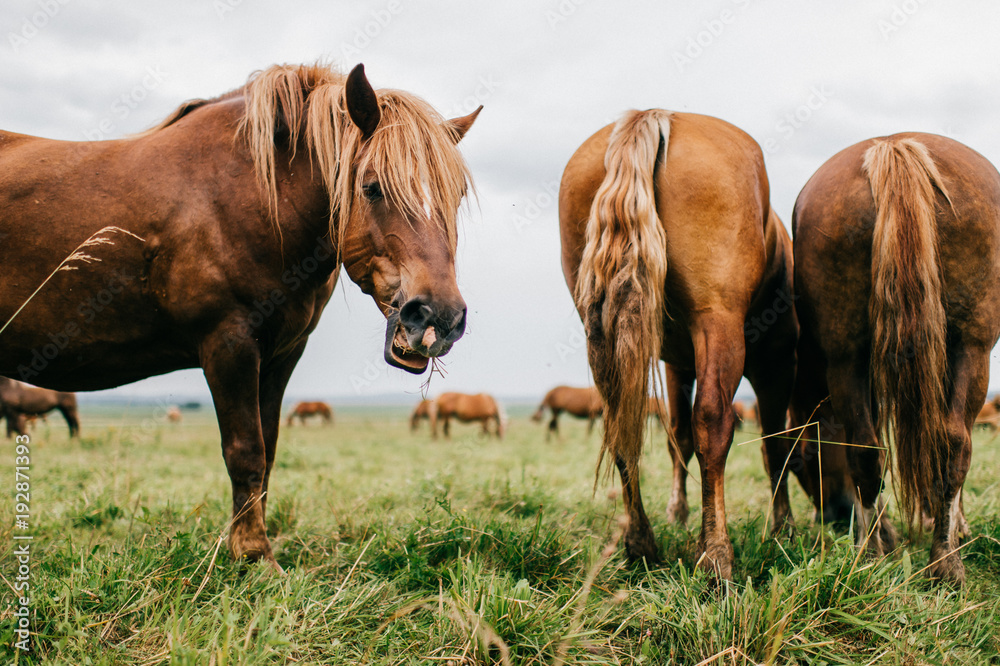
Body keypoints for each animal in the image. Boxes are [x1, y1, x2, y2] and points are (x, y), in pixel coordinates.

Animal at [0, 62, 480, 571]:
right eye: (372, 187)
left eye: (455, 195)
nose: (438, 316)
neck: (245, 198)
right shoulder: (227, 344)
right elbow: (246, 452)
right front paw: (254, 556)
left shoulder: (281, 355)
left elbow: (267, 451)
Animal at [560, 109, 797, 578]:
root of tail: (654, 115)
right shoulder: (773, 369)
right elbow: (774, 444)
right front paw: (783, 527)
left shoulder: (677, 365)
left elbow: (678, 437)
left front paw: (678, 511)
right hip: (718, 322)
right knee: (714, 422)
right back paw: (716, 555)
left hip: (605, 333)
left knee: (621, 424)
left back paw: (642, 543)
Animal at [791, 132, 1000, 585]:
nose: (830, 514)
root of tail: (894, 145)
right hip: (967, 347)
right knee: (942, 445)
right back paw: (924, 555)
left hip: (855, 354)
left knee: (881, 448)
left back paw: (889, 554)